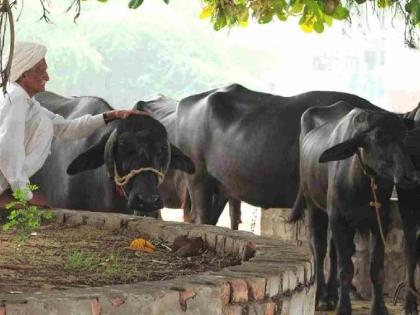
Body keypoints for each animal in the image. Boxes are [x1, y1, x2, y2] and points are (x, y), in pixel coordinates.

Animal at [296, 102, 420, 315]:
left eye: (404, 137)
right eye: (379, 138)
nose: (411, 177)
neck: (362, 184)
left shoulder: (379, 220)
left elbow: (376, 268)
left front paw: (379, 308)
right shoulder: (337, 218)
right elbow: (346, 268)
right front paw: (344, 308)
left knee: (333, 250)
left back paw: (332, 295)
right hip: (312, 204)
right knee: (319, 249)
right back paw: (321, 297)